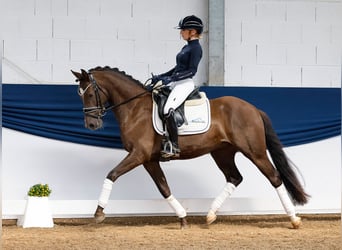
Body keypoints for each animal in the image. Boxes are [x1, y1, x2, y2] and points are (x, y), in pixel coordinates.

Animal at [72, 66, 310, 229]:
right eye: (80, 95)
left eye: (90, 94)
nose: (91, 125)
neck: (135, 108)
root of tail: (253, 108)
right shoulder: (149, 159)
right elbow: (164, 188)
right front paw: (183, 218)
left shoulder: (138, 155)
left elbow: (111, 174)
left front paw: (98, 213)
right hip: (222, 152)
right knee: (234, 178)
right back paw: (210, 215)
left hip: (255, 152)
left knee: (274, 177)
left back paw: (294, 219)